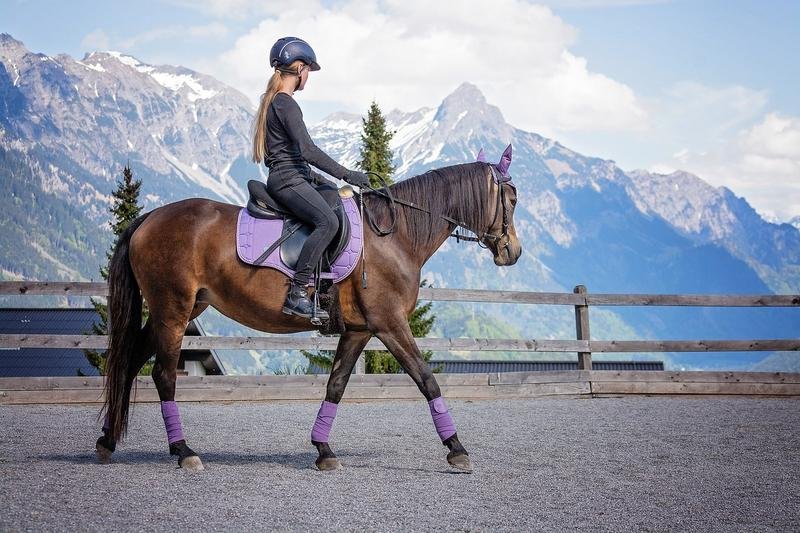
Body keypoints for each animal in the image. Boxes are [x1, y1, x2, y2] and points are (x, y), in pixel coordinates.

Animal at [97, 145, 522, 473]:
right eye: (512, 199)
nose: (513, 252)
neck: (394, 235)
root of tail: (149, 218)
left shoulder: (359, 330)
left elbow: (336, 385)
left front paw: (323, 451)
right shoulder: (390, 323)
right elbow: (426, 379)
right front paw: (457, 449)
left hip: (180, 309)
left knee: (130, 361)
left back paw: (108, 441)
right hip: (173, 310)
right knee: (163, 376)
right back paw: (184, 452)